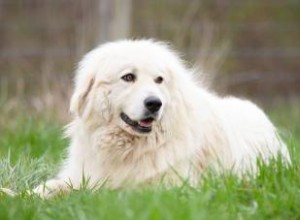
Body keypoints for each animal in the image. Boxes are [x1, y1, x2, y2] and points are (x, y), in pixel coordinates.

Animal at [32, 38, 288, 199]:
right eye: (128, 77)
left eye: (159, 80)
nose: (155, 103)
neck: (128, 149)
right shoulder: (80, 174)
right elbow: (46, 188)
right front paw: (25, 196)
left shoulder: (168, 186)